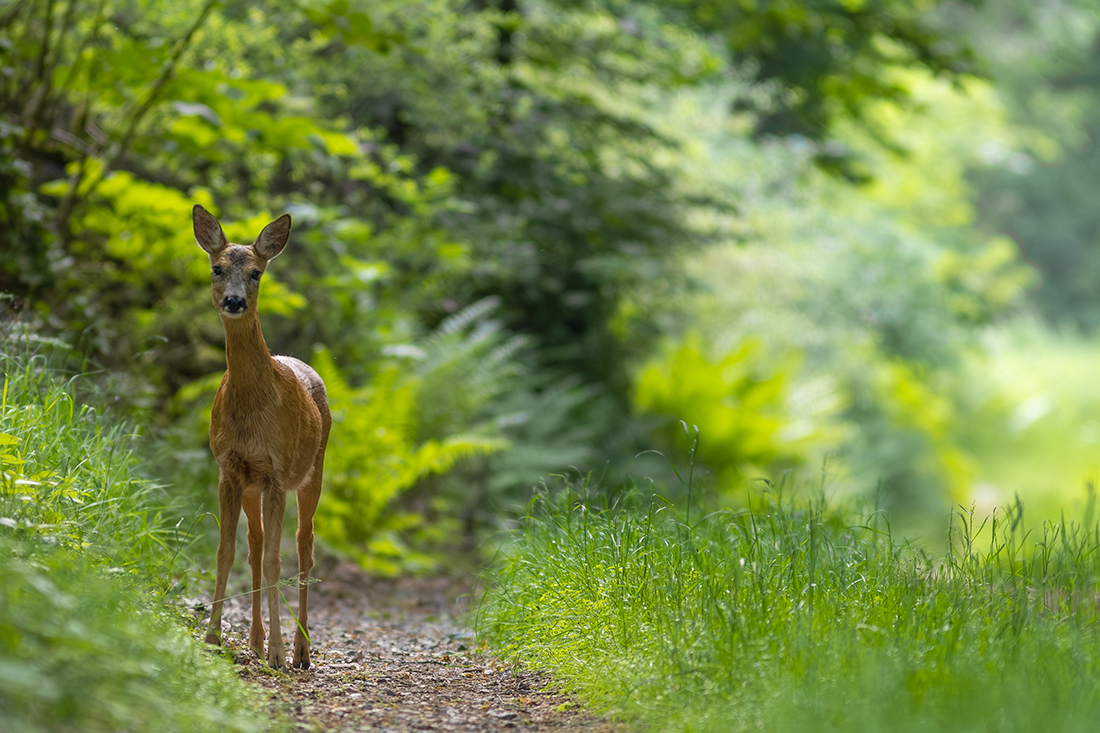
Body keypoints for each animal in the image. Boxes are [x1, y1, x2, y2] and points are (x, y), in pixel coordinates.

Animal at [193, 204, 331, 670]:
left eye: (256, 272)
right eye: (217, 268)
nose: (234, 301)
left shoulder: (276, 471)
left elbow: (275, 560)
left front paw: (277, 652)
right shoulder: (230, 468)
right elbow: (227, 552)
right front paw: (212, 638)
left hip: (312, 470)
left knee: (304, 546)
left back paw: (301, 650)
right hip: (253, 486)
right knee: (253, 547)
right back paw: (253, 641)